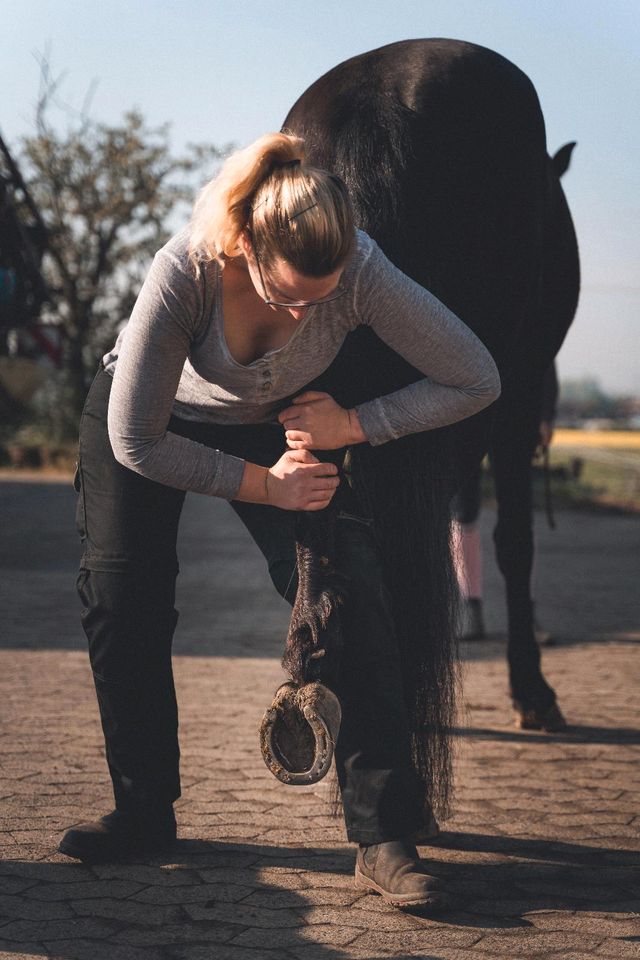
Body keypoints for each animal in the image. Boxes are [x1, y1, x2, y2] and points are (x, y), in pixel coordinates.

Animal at [280, 41, 580, 820]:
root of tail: (379, 94)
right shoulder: (511, 398)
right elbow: (510, 543)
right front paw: (533, 694)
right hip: (492, 387)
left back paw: (316, 658)